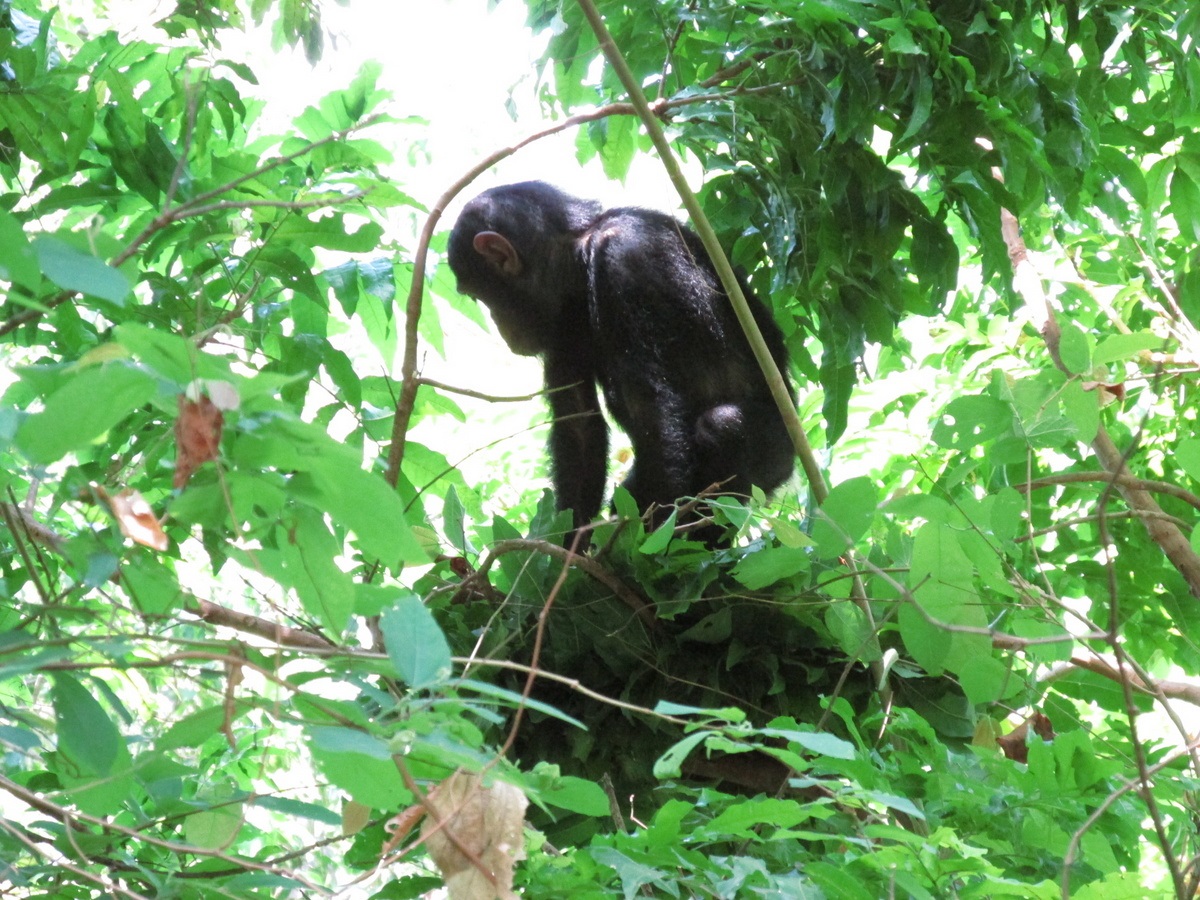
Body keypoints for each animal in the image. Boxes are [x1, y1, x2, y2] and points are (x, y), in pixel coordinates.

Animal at [446, 177, 792, 542]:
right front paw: (569, 551)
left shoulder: (627, 259)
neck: (579, 252)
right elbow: (579, 426)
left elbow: (650, 408)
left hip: (775, 455)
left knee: (723, 426)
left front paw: (650, 550)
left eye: (477, 295)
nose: (497, 323)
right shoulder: (562, 324)